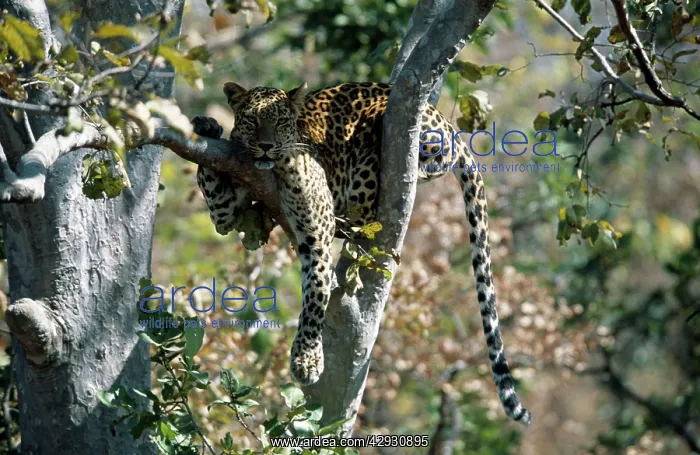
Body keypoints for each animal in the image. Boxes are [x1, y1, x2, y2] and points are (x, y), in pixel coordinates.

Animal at [194, 81, 532, 425]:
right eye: (251, 119)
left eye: (280, 121)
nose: (265, 146)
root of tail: (448, 123)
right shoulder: (226, 209)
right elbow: (212, 188)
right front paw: (208, 127)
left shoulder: (316, 235)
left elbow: (315, 297)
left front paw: (307, 360)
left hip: (383, 141)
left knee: (368, 210)